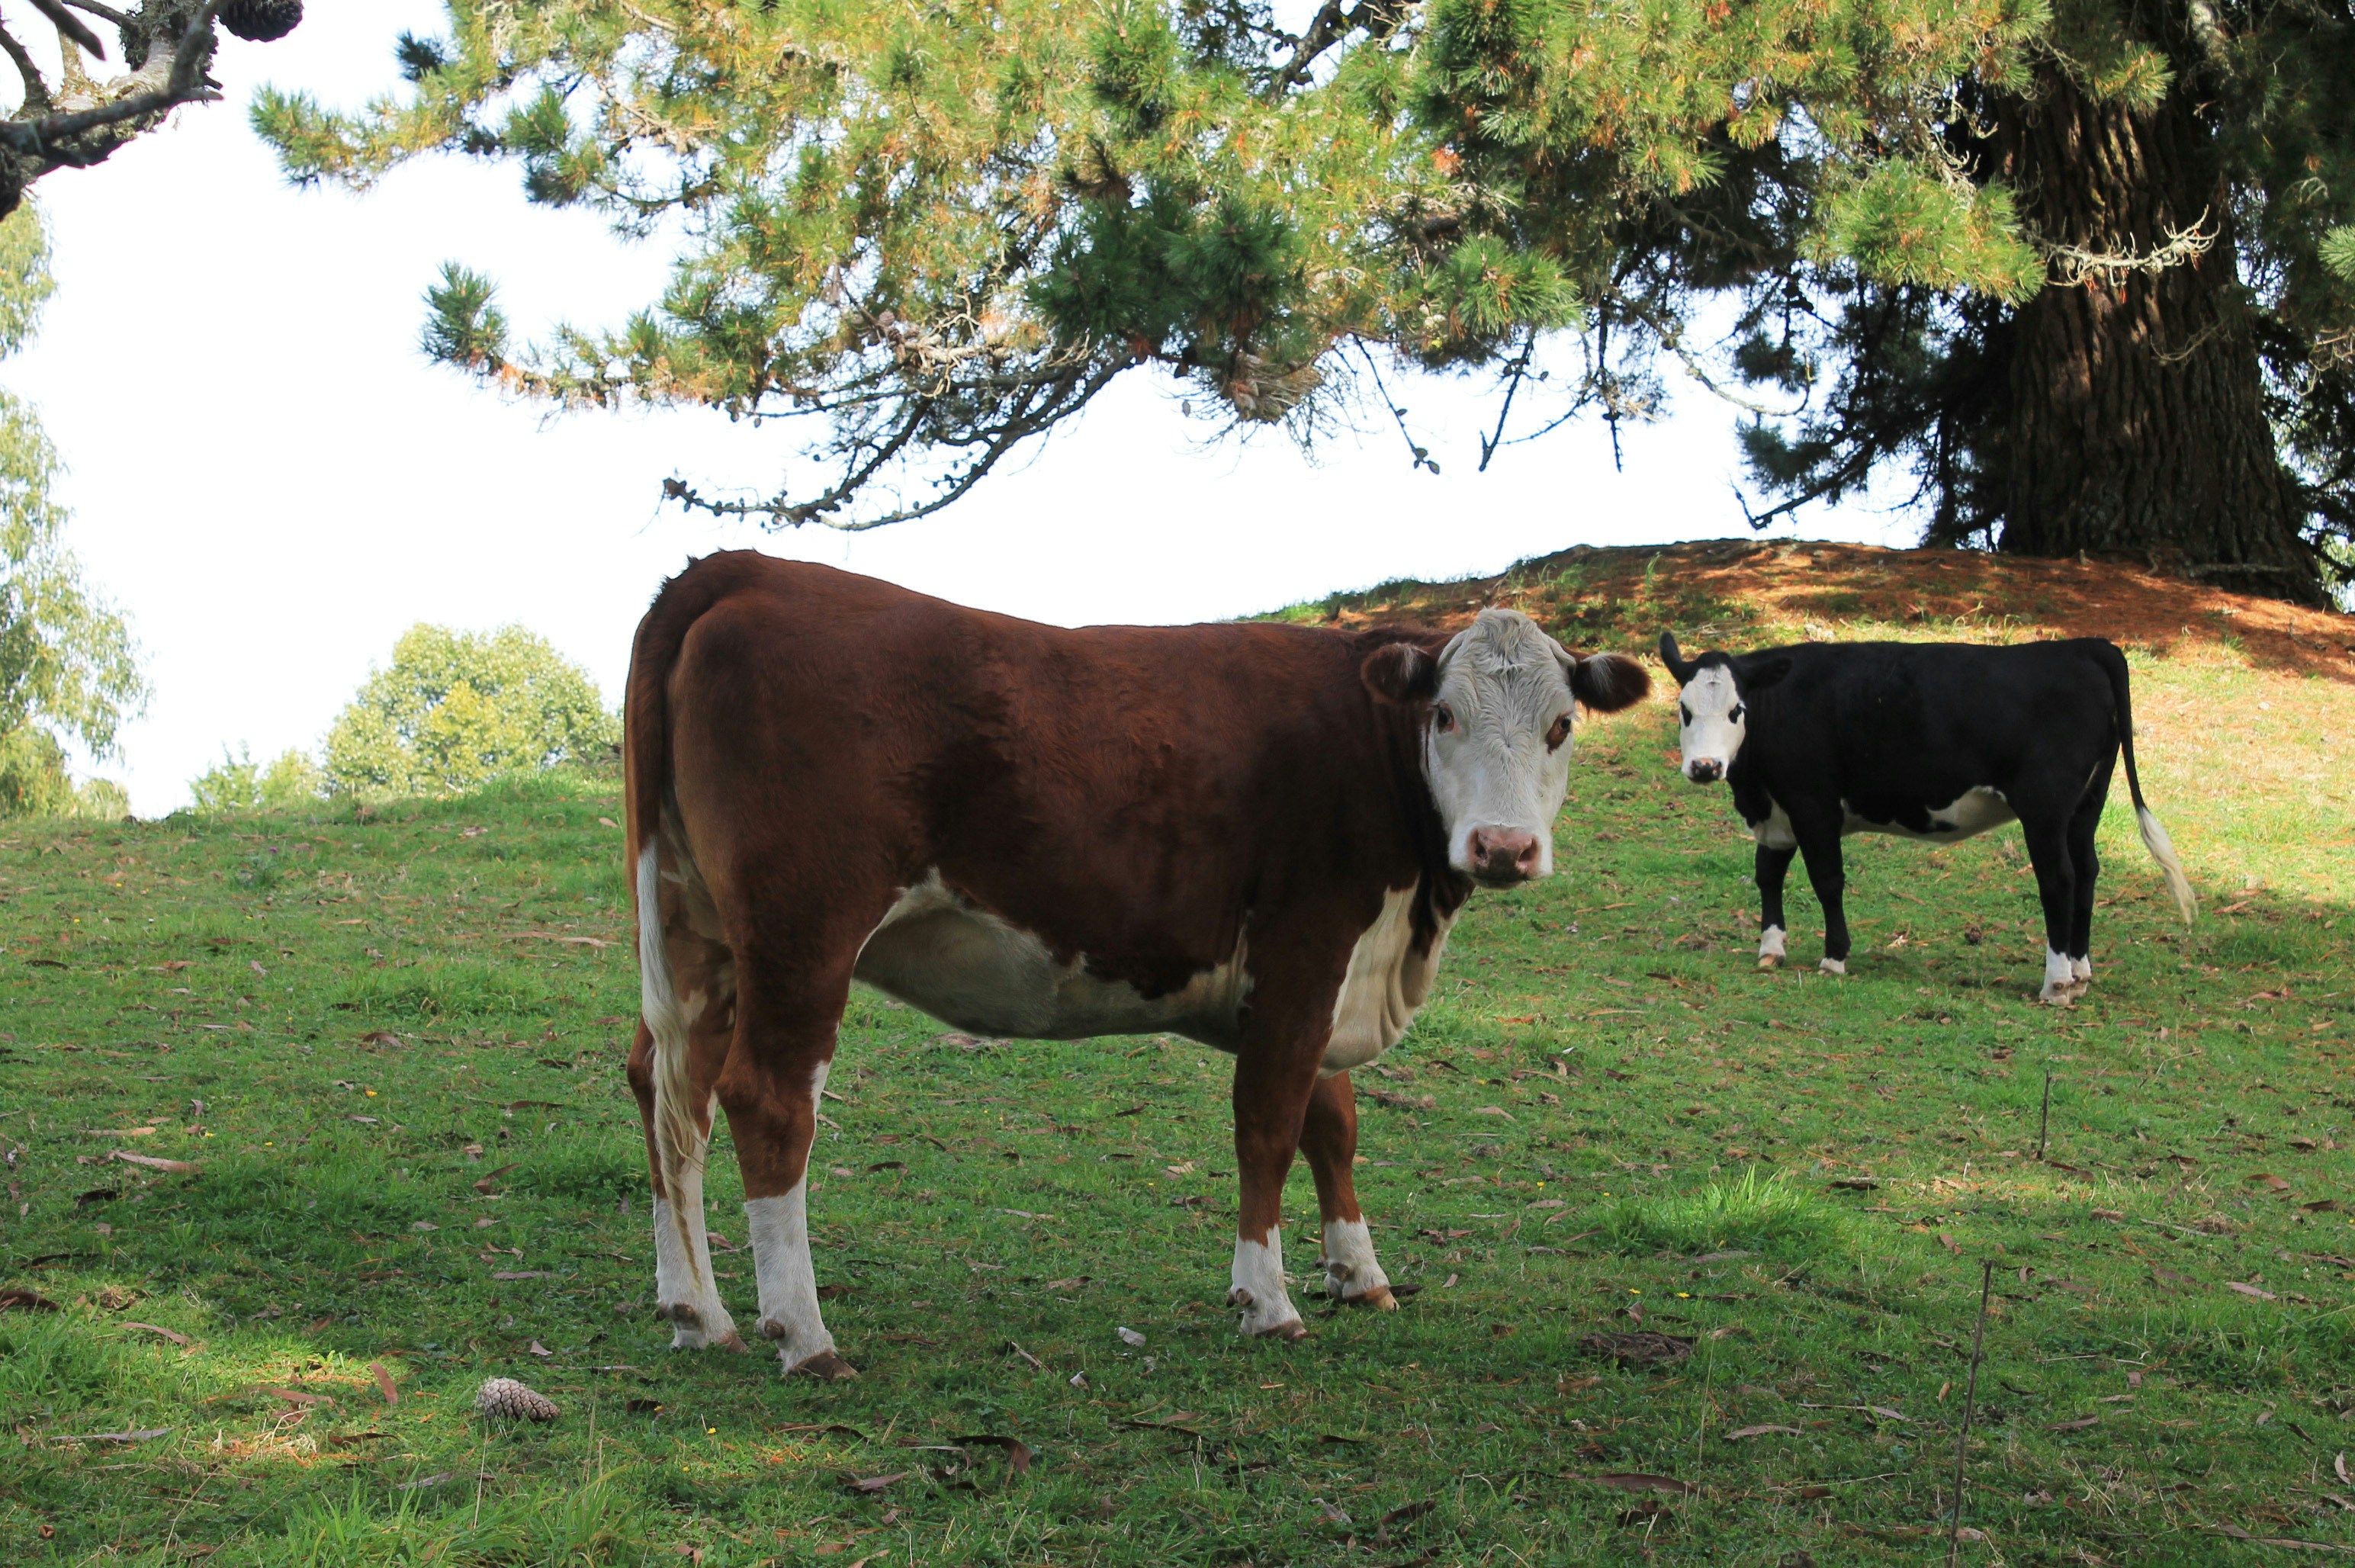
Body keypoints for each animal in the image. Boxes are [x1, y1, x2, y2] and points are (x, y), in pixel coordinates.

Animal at [623, 553, 1649, 1377]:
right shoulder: (1306, 946)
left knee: (666, 1084)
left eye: (1561, 725)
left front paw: (1359, 1274)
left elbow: (1333, 1123)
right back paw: (803, 1333)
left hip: (693, 925)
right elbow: (1269, 1123)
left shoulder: (1324, 975)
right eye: (1443, 714)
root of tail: (748, 569)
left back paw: (698, 1311)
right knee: (765, 1099)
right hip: (803, 929)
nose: (1504, 847)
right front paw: (1267, 1299)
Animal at [1657, 632, 2195, 1002]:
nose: (1705, 767)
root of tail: (2085, 646)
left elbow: (1828, 881)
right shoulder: (1778, 815)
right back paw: (2080, 974)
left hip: (2045, 807)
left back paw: (2056, 983)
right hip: (2085, 807)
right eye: (1684, 710)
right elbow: (1768, 875)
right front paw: (1771, 948)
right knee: (2086, 873)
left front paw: (1834, 957)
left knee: (2058, 879)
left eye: (1736, 710)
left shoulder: (1813, 805)